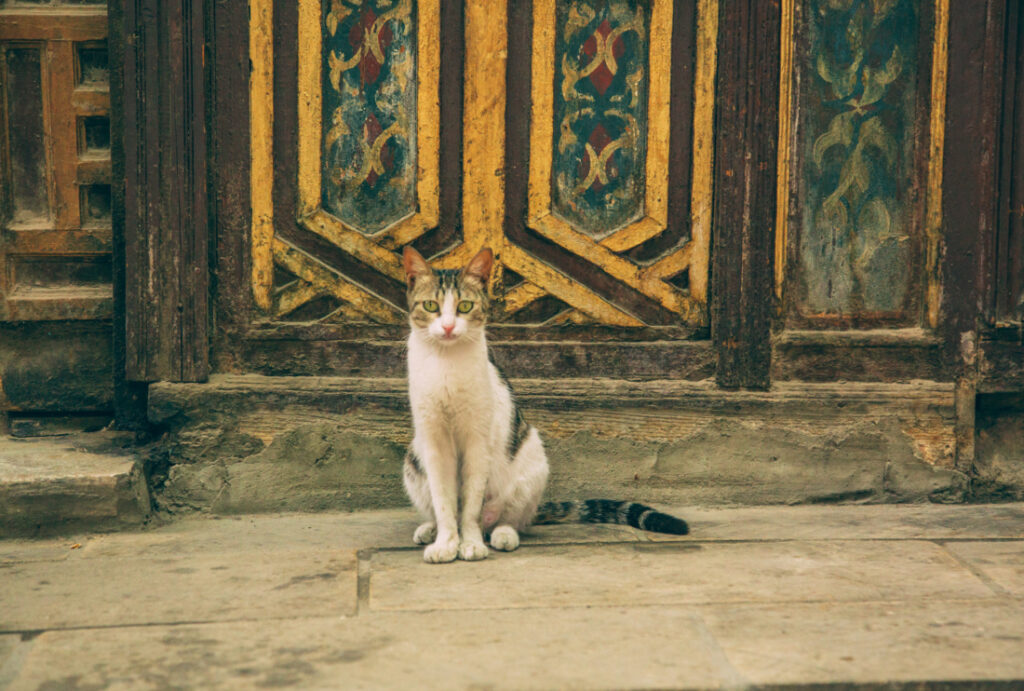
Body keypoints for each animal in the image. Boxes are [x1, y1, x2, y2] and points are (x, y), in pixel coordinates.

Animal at [399, 245, 688, 565]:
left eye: (464, 306)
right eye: (430, 306)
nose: (448, 327)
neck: (446, 363)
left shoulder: (478, 439)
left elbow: (471, 504)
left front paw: (470, 543)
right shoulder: (433, 439)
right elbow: (444, 500)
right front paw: (447, 543)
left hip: (531, 457)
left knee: (509, 519)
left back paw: (502, 535)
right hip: (413, 460)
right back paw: (429, 529)